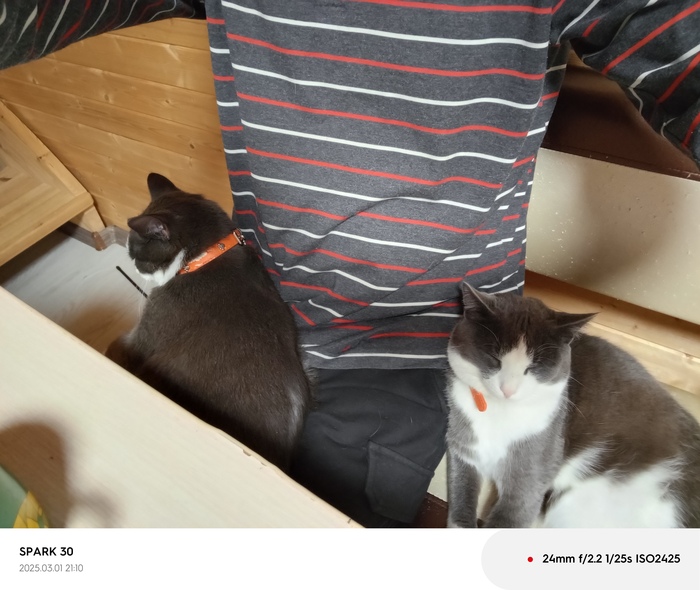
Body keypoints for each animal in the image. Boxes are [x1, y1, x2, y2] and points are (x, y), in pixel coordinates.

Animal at [445, 282, 700, 528]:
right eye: (494, 359)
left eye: (534, 367)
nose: (508, 389)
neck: (499, 413)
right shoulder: (463, 448)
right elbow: (461, 500)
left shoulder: (535, 464)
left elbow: (511, 514)